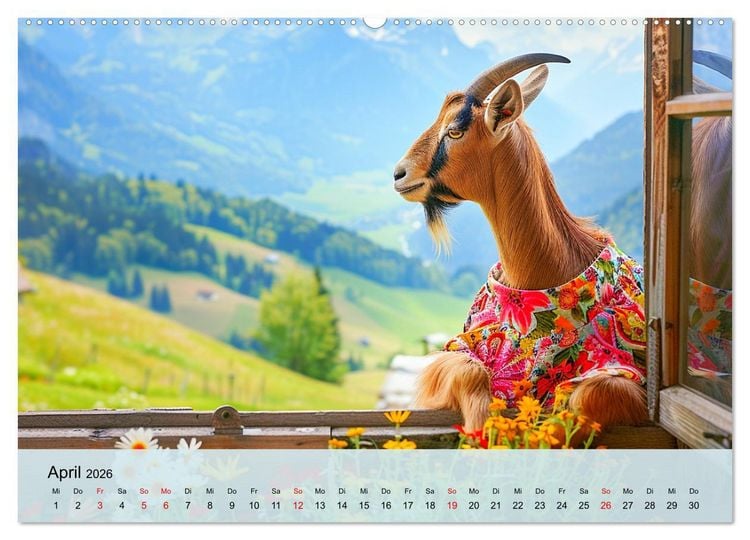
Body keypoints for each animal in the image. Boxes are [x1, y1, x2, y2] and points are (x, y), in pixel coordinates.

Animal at [394, 54, 648, 432]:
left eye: (454, 130)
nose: (399, 174)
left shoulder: (627, 368)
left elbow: (591, 394)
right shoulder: (459, 346)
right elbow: (470, 370)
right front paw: (484, 427)